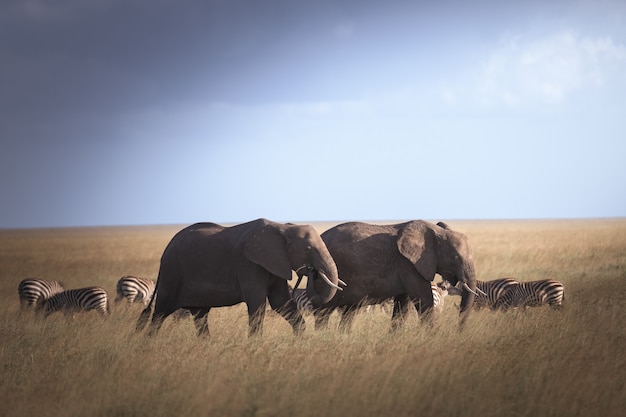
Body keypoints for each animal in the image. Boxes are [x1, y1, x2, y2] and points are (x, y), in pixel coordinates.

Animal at [136, 219, 342, 336]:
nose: (311, 271)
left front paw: (300, 340)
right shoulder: (249, 263)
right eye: (308, 249)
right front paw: (255, 347)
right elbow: (258, 304)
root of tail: (165, 251)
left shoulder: (276, 262)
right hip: (172, 272)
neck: (283, 227)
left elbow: (281, 302)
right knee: (160, 312)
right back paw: (148, 344)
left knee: (200, 315)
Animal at [312, 219, 478, 330]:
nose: (458, 331)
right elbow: (423, 300)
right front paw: (432, 338)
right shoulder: (409, 264)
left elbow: (403, 305)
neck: (437, 232)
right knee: (323, 310)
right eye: (455, 257)